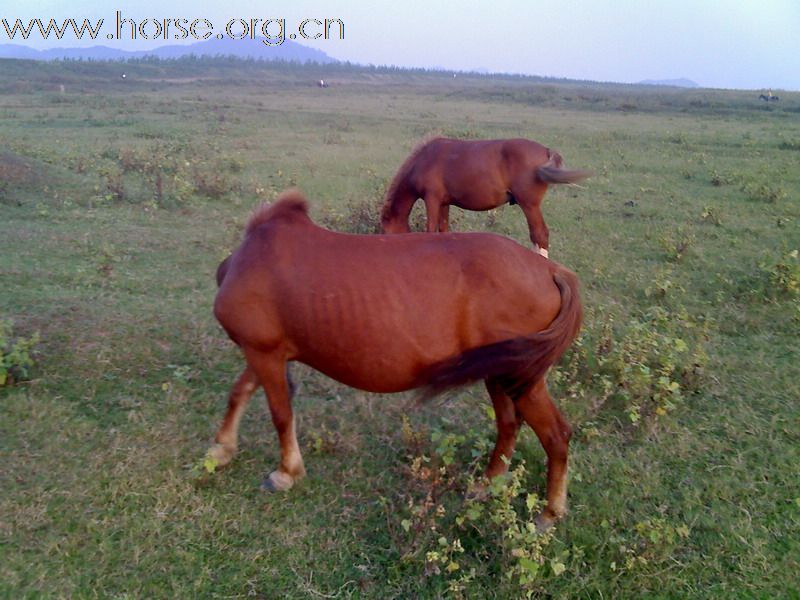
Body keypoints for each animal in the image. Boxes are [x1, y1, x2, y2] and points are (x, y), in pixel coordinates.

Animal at [208, 190, 580, 528]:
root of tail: (550, 270)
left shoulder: (264, 352)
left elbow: (281, 414)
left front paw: (286, 472)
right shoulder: (265, 353)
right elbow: (240, 393)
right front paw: (222, 450)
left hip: (517, 377)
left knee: (556, 435)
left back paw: (550, 512)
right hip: (501, 374)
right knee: (509, 425)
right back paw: (487, 485)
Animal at [378, 138, 592, 258]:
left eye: (387, 232)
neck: (425, 159)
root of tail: (546, 150)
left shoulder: (432, 199)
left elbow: (430, 230)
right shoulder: (444, 203)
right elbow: (444, 230)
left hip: (529, 205)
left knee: (540, 235)